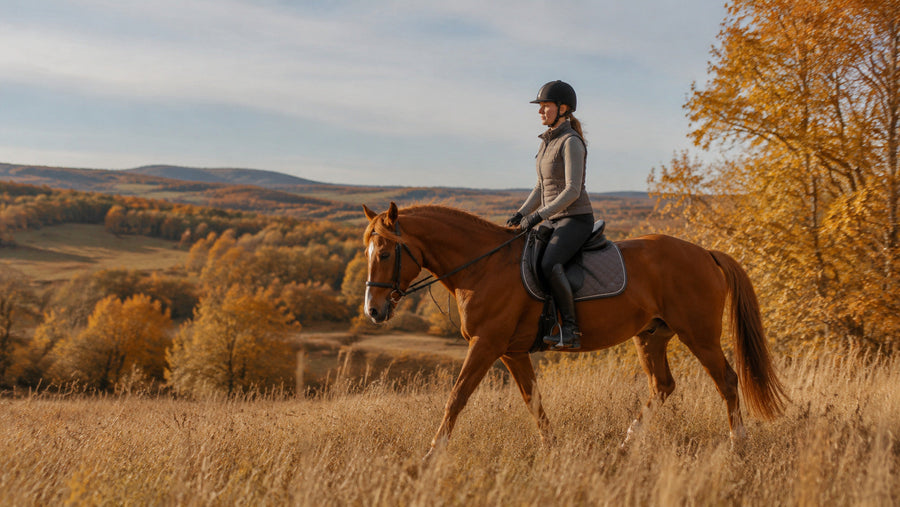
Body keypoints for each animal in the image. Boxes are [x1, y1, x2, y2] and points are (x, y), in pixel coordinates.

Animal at [362, 202, 786, 459]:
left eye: (384, 253)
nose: (373, 311)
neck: (483, 267)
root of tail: (706, 253)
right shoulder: (511, 351)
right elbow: (533, 401)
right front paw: (552, 450)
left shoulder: (486, 345)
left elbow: (457, 397)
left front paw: (430, 455)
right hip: (652, 336)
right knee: (663, 386)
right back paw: (626, 444)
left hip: (698, 335)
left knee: (727, 380)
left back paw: (737, 445)